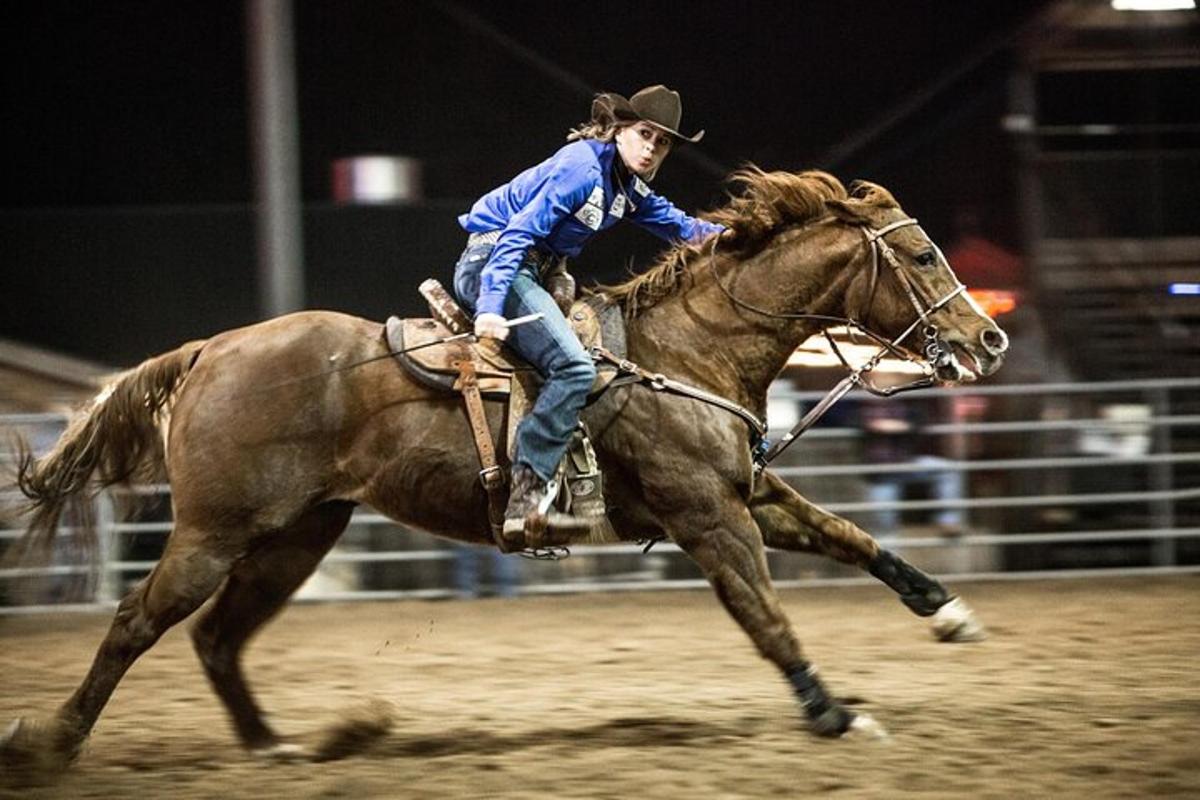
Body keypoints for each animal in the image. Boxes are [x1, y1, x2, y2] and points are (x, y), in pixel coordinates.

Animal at [4, 170, 1008, 767]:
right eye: (923, 253)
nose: (989, 340)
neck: (687, 351)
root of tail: (211, 349)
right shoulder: (707, 516)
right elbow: (767, 618)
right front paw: (835, 712)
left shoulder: (746, 494)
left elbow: (853, 538)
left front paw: (949, 611)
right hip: (213, 532)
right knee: (137, 622)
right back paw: (53, 742)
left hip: (296, 536)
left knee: (218, 637)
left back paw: (277, 749)